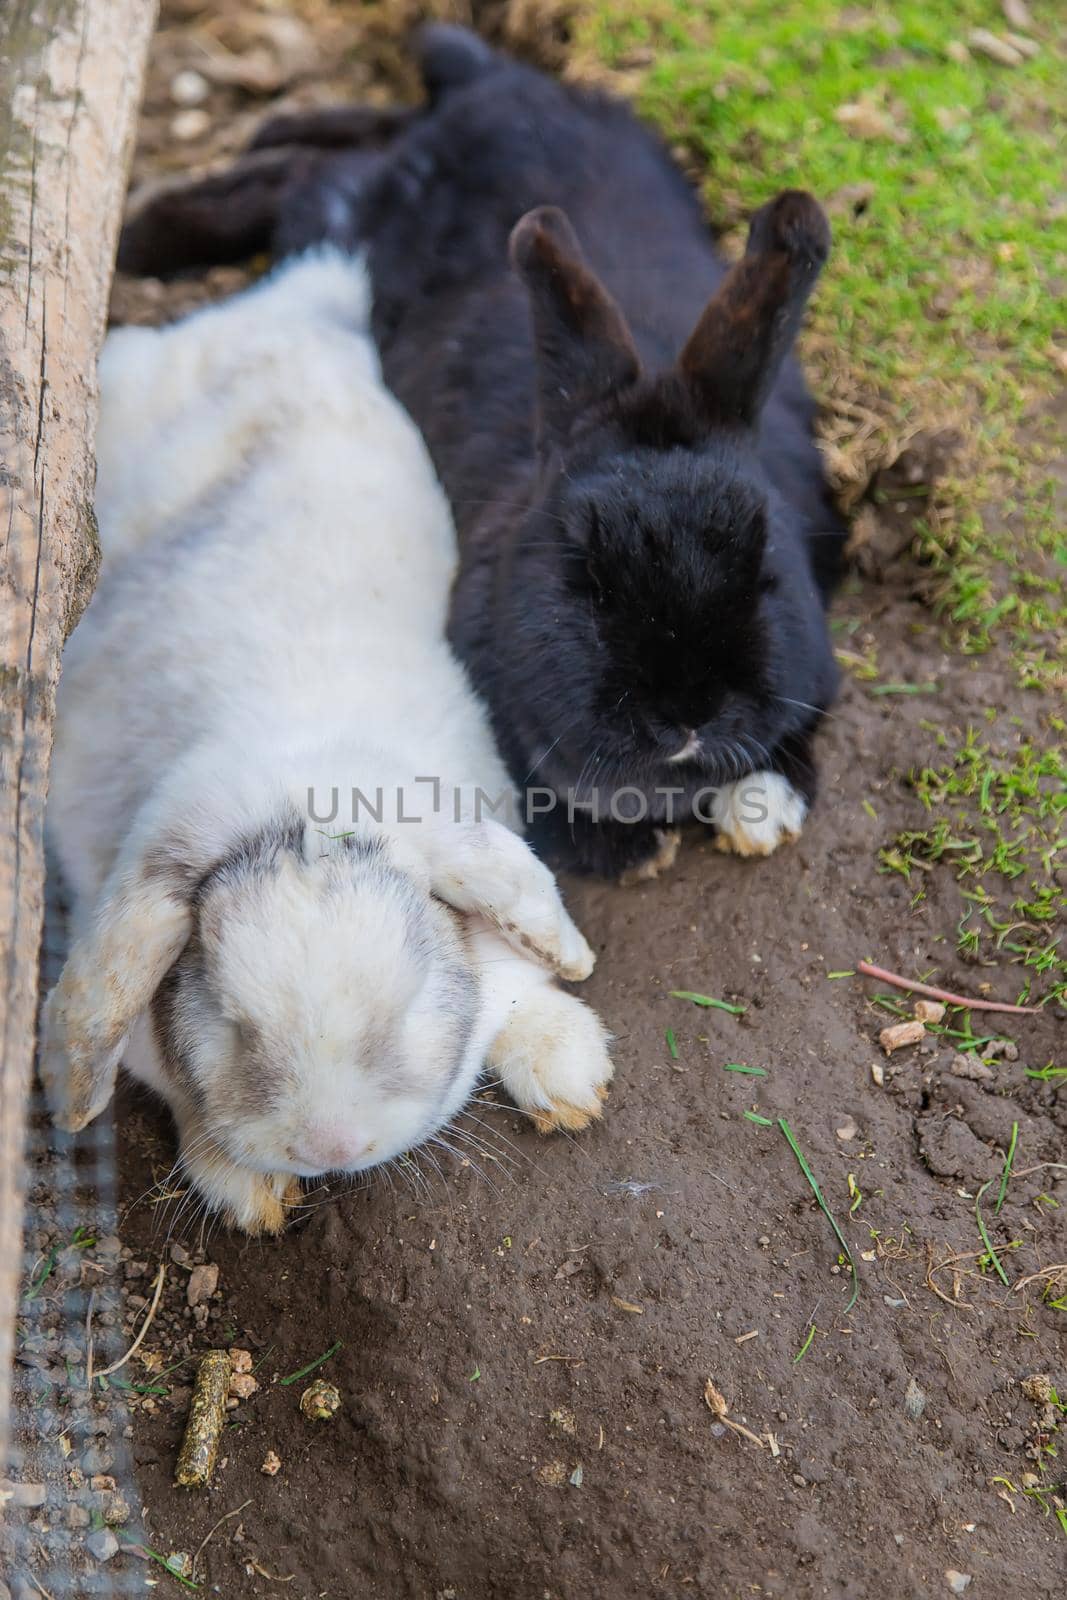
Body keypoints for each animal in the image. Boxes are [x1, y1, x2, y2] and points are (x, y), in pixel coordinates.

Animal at [41, 249, 614, 1228]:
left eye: (407, 1003)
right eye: (230, 1021)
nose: (329, 1148)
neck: (298, 785)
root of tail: (280, 309)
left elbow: (527, 978)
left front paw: (571, 1073)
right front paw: (248, 1191)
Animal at [120, 25, 844, 876]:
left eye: (764, 569)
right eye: (583, 578)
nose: (687, 713)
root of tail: (495, 86)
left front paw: (765, 807)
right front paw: (630, 851)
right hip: (352, 214)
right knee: (315, 175)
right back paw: (145, 235)